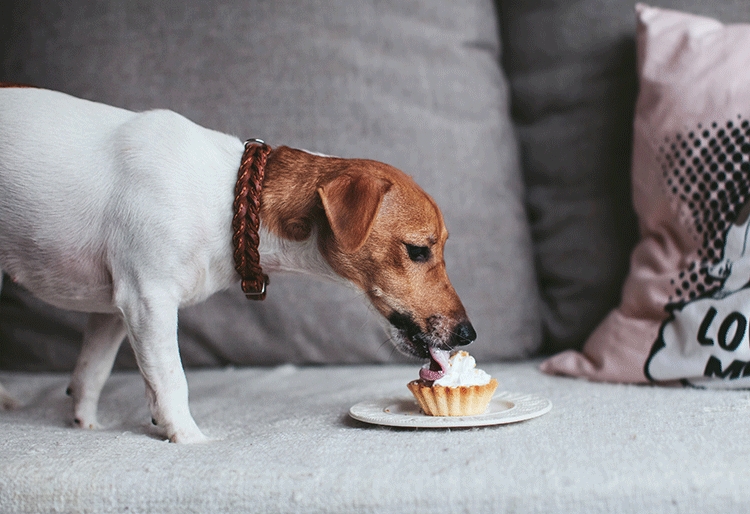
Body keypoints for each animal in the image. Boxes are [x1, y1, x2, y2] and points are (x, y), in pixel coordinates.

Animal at [0, 86, 478, 438]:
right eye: (418, 250)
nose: (469, 334)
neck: (233, 201)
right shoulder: (147, 300)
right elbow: (170, 381)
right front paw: (189, 439)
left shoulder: (113, 311)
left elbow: (91, 374)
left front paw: (85, 425)